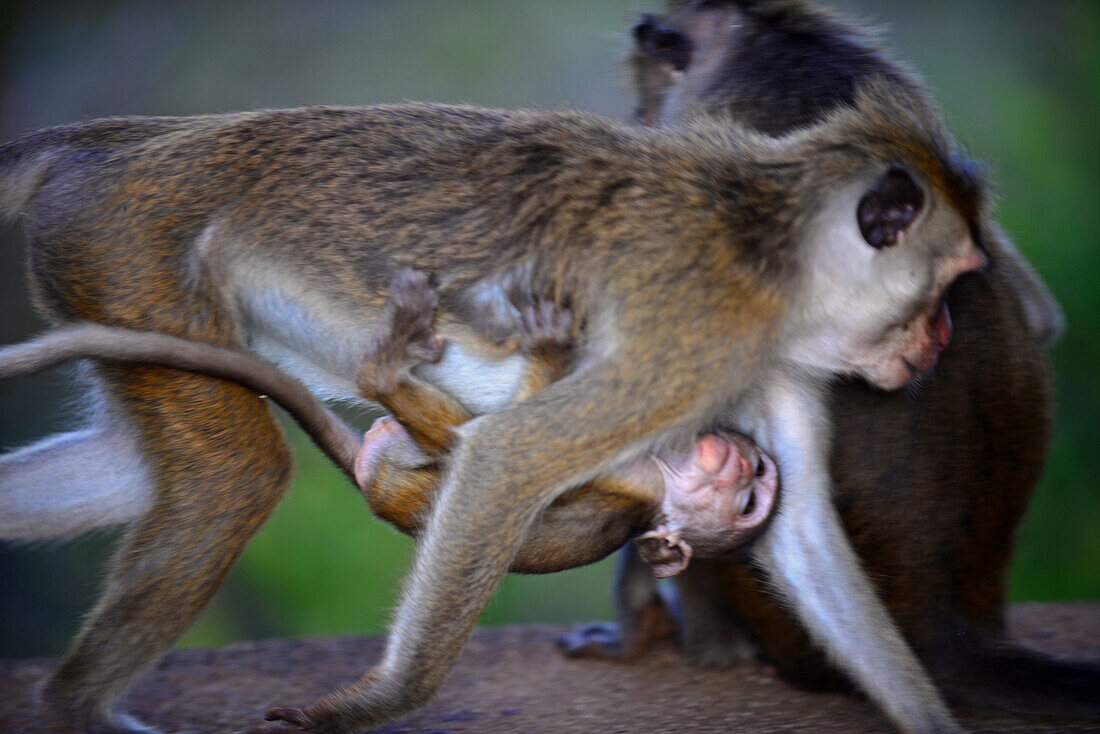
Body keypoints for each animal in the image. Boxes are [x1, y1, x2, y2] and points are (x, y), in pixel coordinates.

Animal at [349, 269, 774, 581]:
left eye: (748, 504)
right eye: (758, 470)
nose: (744, 467)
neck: (666, 475)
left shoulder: (635, 481)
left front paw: (549, 349)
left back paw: (381, 371)